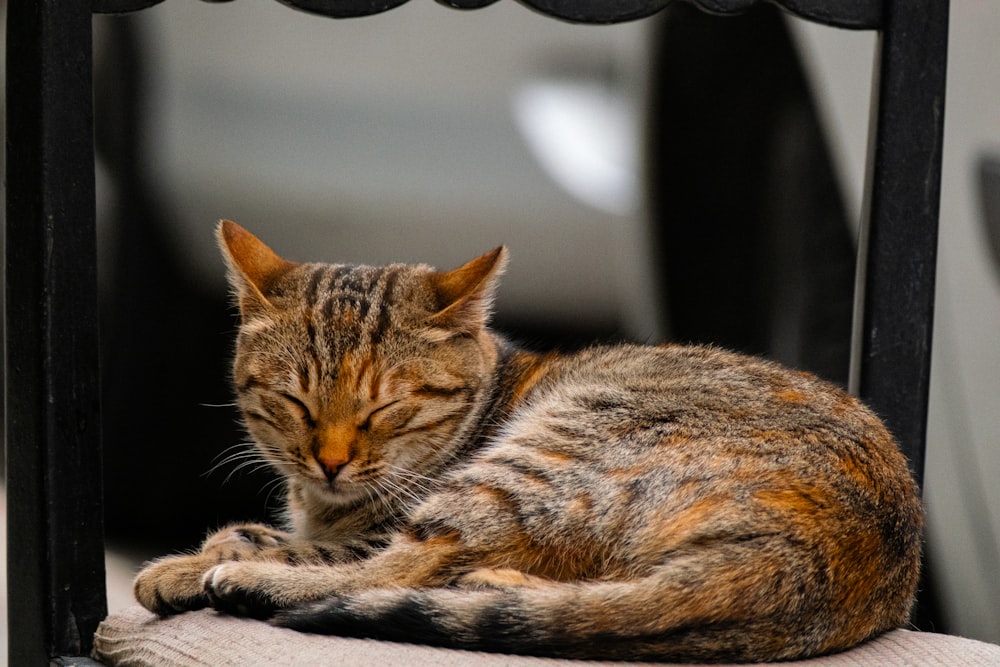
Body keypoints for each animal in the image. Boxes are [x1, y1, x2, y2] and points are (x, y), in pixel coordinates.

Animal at [133, 220, 920, 664]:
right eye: (295, 400)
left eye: (386, 404)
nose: (329, 461)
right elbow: (264, 530)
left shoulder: (376, 520)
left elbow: (309, 547)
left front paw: (195, 564)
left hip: (540, 457)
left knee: (403, 567)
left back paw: (254, 584)